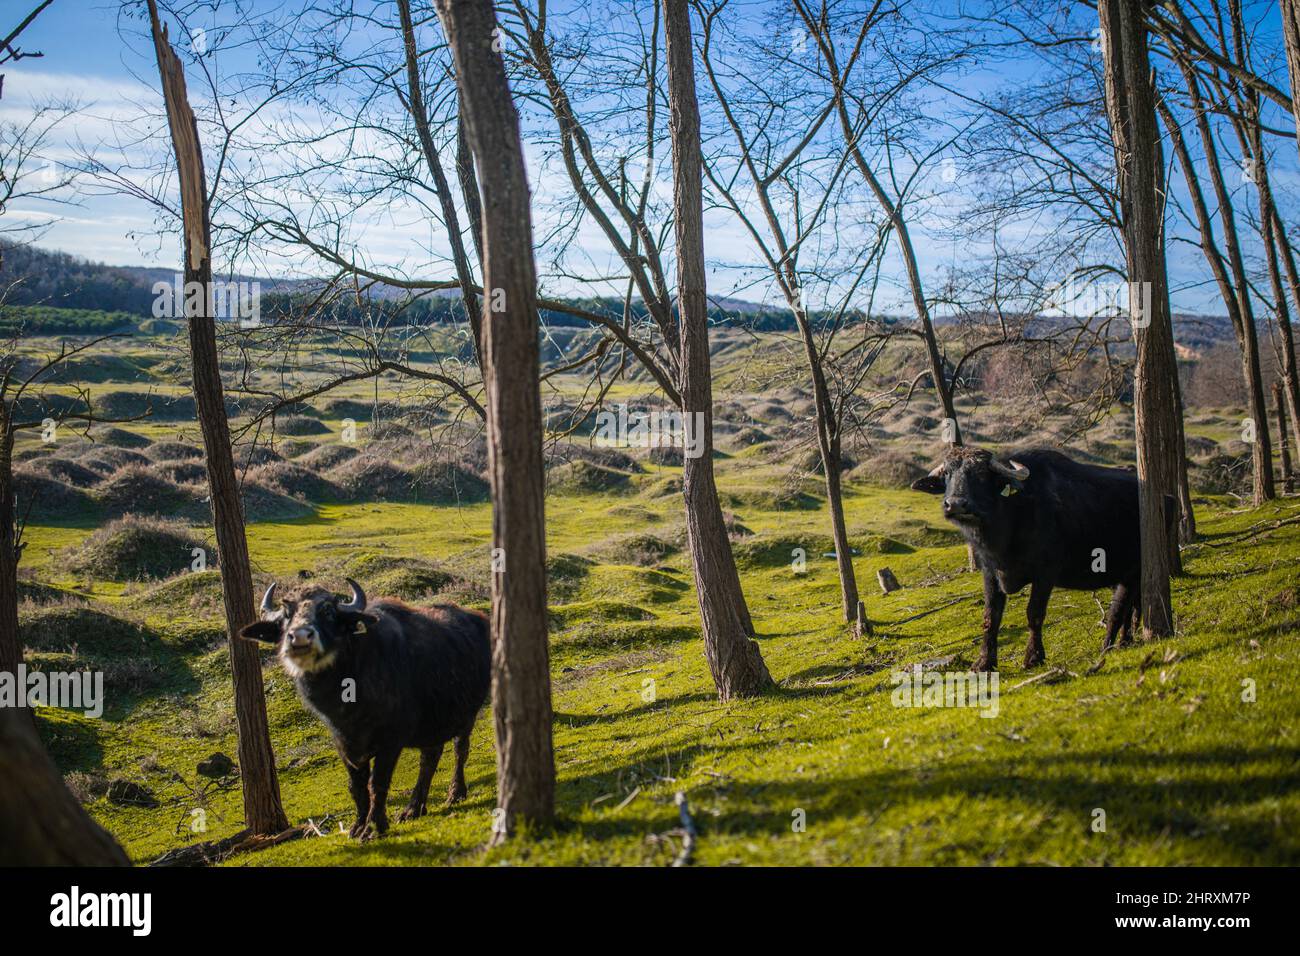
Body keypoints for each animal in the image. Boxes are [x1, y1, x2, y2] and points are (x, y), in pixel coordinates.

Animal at [239, 578, 490, 841]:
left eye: (328, 611)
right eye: (286, 613)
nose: (299, 637)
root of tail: (479, 619)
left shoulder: (391, 740)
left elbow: (377, 782)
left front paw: (373, 826)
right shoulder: (343, 742)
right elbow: (357, 786)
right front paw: (358, 825)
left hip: (467, 715)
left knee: (460, 750)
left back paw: (455, 794)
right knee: (430, 758)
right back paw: (413, 809)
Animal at [910, 446, 1152, 671]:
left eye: (980, 474)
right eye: (947, 473)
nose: (956, 504)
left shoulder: (1046, 573)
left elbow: (1034, 613)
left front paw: (1033, 657)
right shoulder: (990, 573)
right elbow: (990, 617)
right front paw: (984, 662)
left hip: (1133, 572)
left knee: (1121, 610)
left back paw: (1111, 646)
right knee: (1130, 606)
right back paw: (1123, 641)